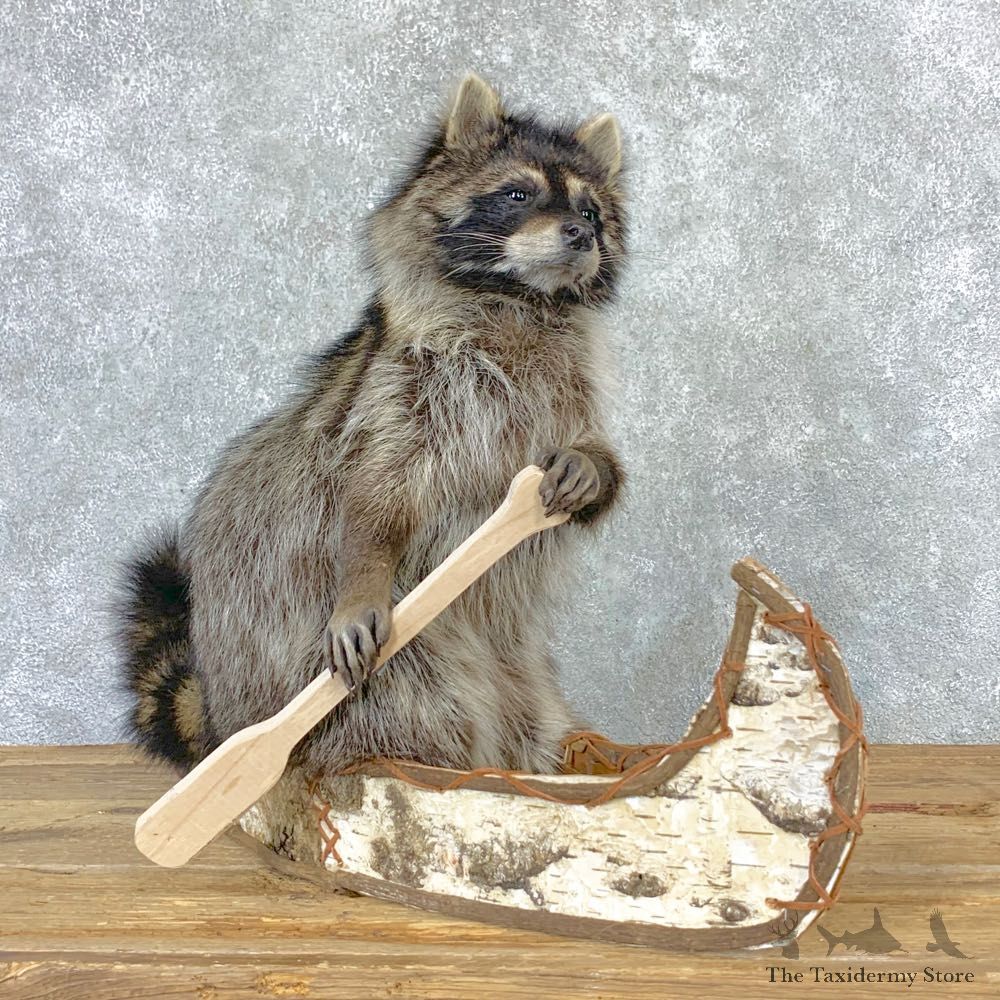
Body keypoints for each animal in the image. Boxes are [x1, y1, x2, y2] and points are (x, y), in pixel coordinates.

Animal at [115, 74, 628, 779]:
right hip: (339, 659)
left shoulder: (569, 388)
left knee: (526, 701)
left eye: (592, 209)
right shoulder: (401, 387)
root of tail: (226, 712)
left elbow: (593, 450)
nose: (580, 233)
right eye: (519, 194)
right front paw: (364, 573)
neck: (519, 299)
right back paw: (400, 759)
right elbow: (376, 492)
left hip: (519, 664)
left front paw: (591, 466)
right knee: (422, 699)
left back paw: (545, 753)